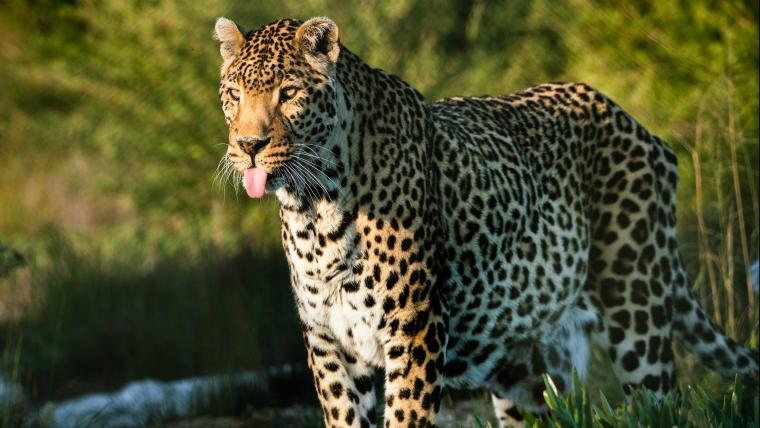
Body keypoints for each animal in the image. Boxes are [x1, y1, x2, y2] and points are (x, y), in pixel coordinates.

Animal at [214, 15, 760, 426]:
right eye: (234, 95)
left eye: (288, 93)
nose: (249, 145)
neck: (313, 207)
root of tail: (635, 122)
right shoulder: (330, 344)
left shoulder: (415, 330)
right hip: (526, 371)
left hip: (637, 313)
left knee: (662, 403)